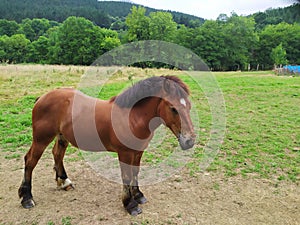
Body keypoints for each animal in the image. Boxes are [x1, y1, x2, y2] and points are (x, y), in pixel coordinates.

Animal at [19, 75, 197, 214]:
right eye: (173, 108)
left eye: (189, 106)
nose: (189, 141)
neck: (132, 117)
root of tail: (42, 98)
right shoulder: (125, 153)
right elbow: (126, 176)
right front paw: (130, 205)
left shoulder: (138, 151)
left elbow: (135, 172)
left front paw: (139, 195)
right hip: (41, 139)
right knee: (30, 160)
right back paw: (26, 198)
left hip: (62, 137)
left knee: (57, 154)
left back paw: (65, 182)